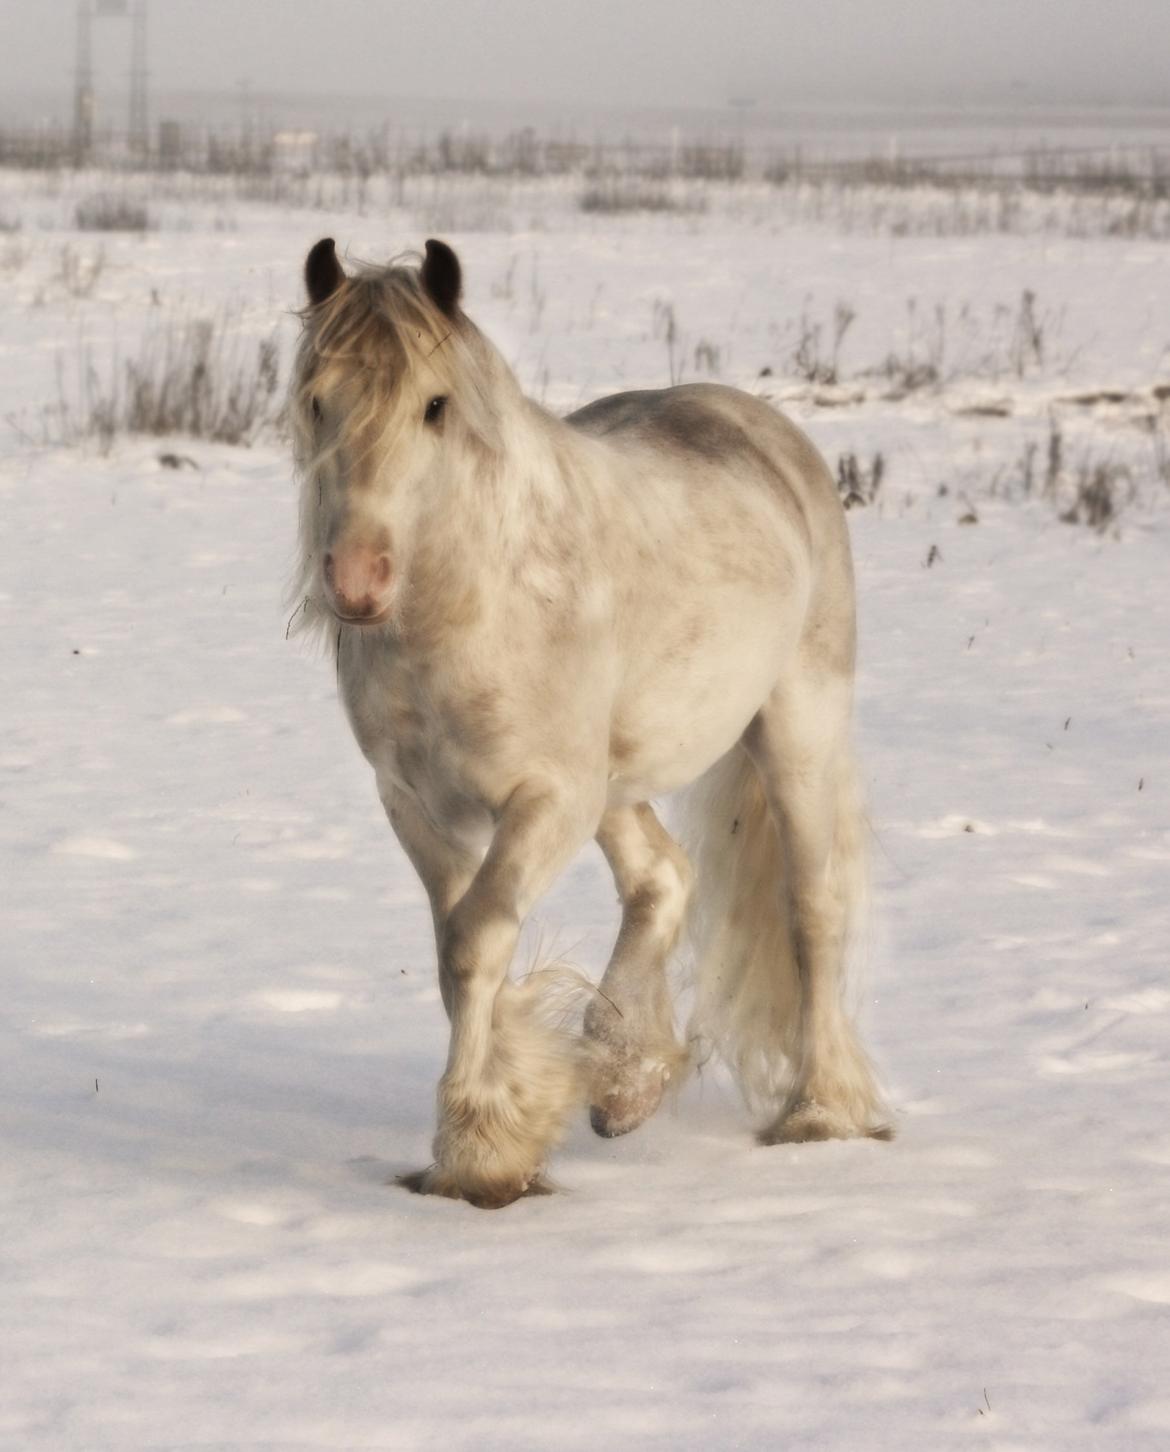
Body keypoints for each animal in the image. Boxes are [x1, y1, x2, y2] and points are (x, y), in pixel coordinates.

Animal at [288, 238, 894, 1208]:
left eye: (434, 405)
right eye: (317, 398)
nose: (356, 579)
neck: (470, 602)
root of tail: (760, 425)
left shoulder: (546, 799)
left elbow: (476, 942)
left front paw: (478, 1148)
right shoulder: (417, 805)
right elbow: (458, 955)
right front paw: (506, 1122)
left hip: (794, 729)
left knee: (812, 908)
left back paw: (817, 1111)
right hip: (615, 779)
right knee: (663, 877)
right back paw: (624, 1081)